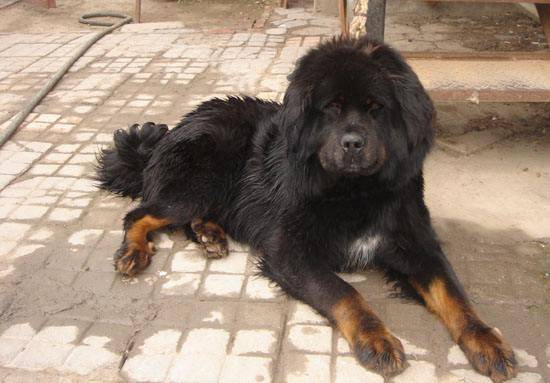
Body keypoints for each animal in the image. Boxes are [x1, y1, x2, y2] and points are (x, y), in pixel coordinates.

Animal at [96, 37, 520, 382]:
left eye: (376, 109)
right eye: (331, 108)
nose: (353, 144)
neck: (355, 191)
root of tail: (173, 130)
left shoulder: (417, 244)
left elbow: (454, 294)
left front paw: (487, 340)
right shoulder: (290, 250)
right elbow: (344, 292)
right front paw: (376, 338)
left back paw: (209, 234)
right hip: (205, 177)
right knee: (140, 214)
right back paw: (135, 252)